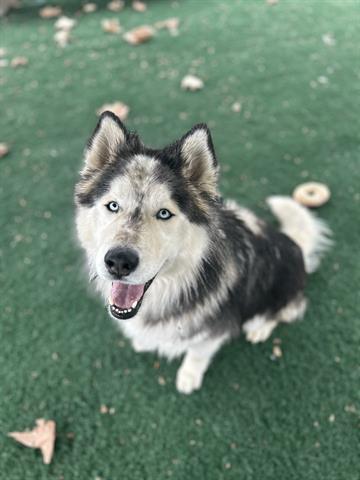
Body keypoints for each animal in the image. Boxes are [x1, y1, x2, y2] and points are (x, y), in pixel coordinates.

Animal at [75, 112, 332, 394]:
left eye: (164, 213)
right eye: (113, 206)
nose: (119, 262)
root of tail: (294, 245)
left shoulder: (214, 329)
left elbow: (197, 353)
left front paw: (188, 376)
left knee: (285, 311)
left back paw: (261, 328)